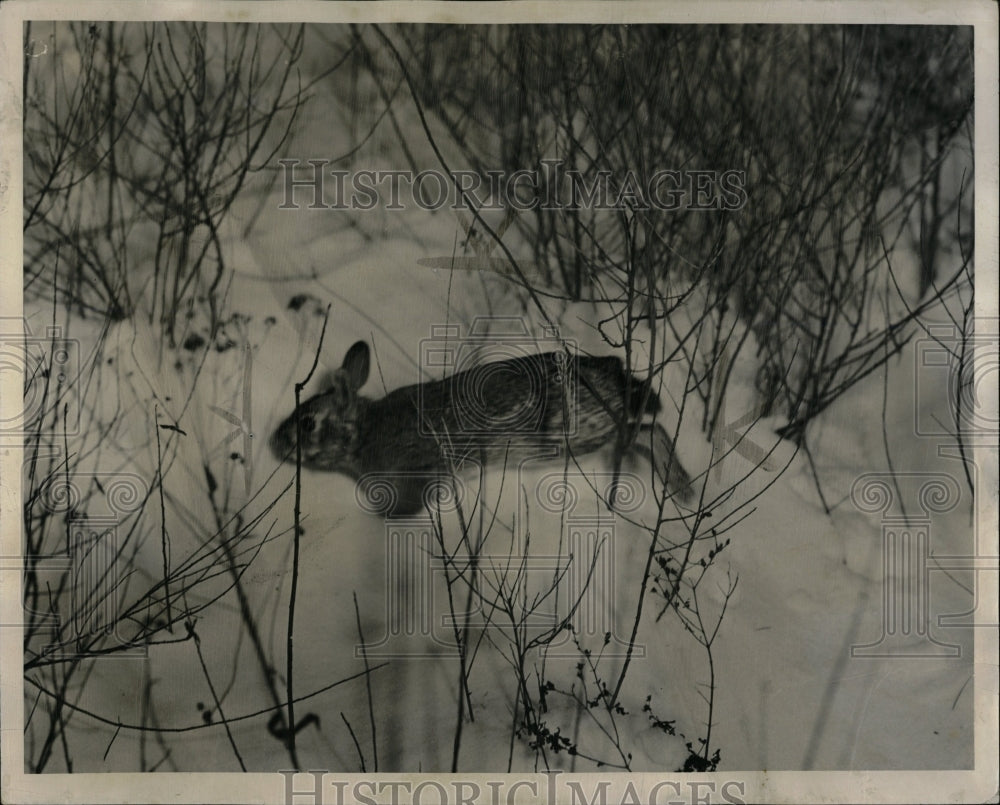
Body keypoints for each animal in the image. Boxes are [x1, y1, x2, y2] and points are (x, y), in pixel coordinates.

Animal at [268, 340, 696, 516]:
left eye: (307, 423)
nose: (276, 443)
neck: (364, 433)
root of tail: (615, 376)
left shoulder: (421, 472)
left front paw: (388, 521)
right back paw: (681, 489)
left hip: (579, 434)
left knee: (648, 430)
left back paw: (683, 490)